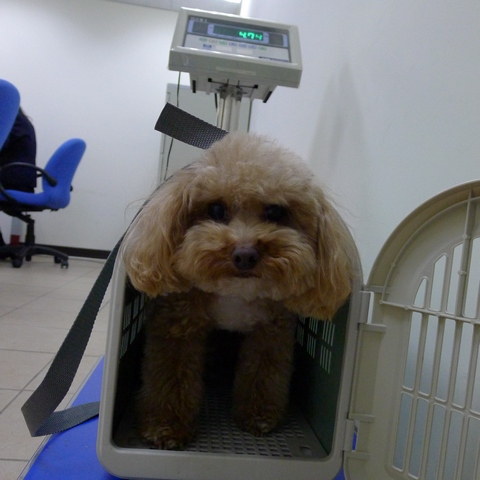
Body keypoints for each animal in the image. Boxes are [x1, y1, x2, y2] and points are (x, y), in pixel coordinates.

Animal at [121, 132, 355, 450]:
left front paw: (259, 415)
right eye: (216, 210)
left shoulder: (270, 333)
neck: (236, 293)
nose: (245, 255)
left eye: (275, 211)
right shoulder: (177, 327)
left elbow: (262, 374)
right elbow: (169, 377)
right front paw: (165, 426)